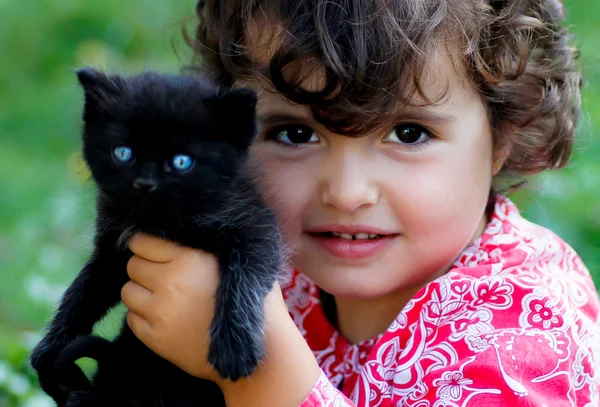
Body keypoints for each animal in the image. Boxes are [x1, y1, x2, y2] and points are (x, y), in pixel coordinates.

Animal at [31, 68, 284, 406]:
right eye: (123, 153)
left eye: (181, 161)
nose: (145, 183)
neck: (161, 222)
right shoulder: (112, 252)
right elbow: (81, 294)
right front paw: (48, 351)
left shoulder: (255, 229)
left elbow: (243, 278)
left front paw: (235, 348)